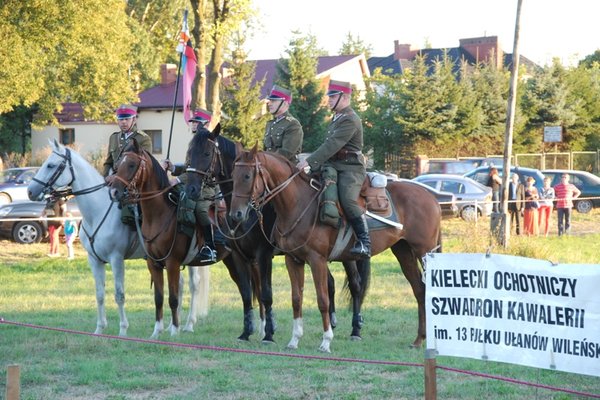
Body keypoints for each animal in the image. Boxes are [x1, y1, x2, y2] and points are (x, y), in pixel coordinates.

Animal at [27, 139, 209, 336]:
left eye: (51, 165)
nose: (30, 191)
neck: (97, 212)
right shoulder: (94, 260)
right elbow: (99, 294)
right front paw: (99, 329)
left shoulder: (116, 258)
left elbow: (119, 294)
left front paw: (123, 330)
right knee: (180, 285)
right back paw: (171, 325)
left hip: (187, 258)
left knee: (194, 285)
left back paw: (189, 324)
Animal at [230, 145, 440, 352]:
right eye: (233, 175)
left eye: (247, 176)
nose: (236, 214)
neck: (298, 203)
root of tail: (430, 197)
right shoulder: (293, 260)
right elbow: (296, 298)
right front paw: (294, 339)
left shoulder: (315, 260)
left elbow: (322, 300)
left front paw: (326, 341)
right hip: (403, 252)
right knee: (419, 290)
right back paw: (419, 340)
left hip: (423, 252)